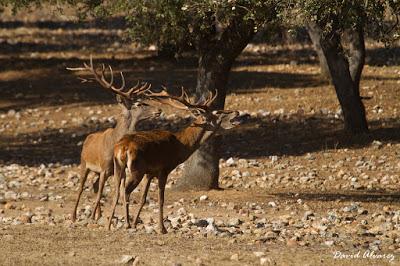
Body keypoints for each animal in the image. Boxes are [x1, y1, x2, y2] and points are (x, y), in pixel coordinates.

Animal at [67, 58, 159, 222]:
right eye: (140, 103)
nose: (159, 110)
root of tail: (87, 139)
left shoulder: (120, 170)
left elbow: (121, 194)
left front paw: (125, 219)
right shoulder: (104, 168)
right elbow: (100, 194)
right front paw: (91, 217)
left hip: (99, 171)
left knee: (95, 186)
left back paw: (98, 214)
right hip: (84, 163)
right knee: (82, 188)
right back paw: (74, 216)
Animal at [107, 88, 244, 233]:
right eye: (217, 112)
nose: (236, 111)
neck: (181, 146)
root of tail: (122, 147)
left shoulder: (150, 172)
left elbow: (143, 198)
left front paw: (135, 224)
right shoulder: (164, 169)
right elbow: (161, 199)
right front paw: (162, 228)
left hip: (118, 166)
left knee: (116, 191)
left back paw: (109, 224)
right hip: (136, 169)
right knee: (126, 191)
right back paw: (126, 223)